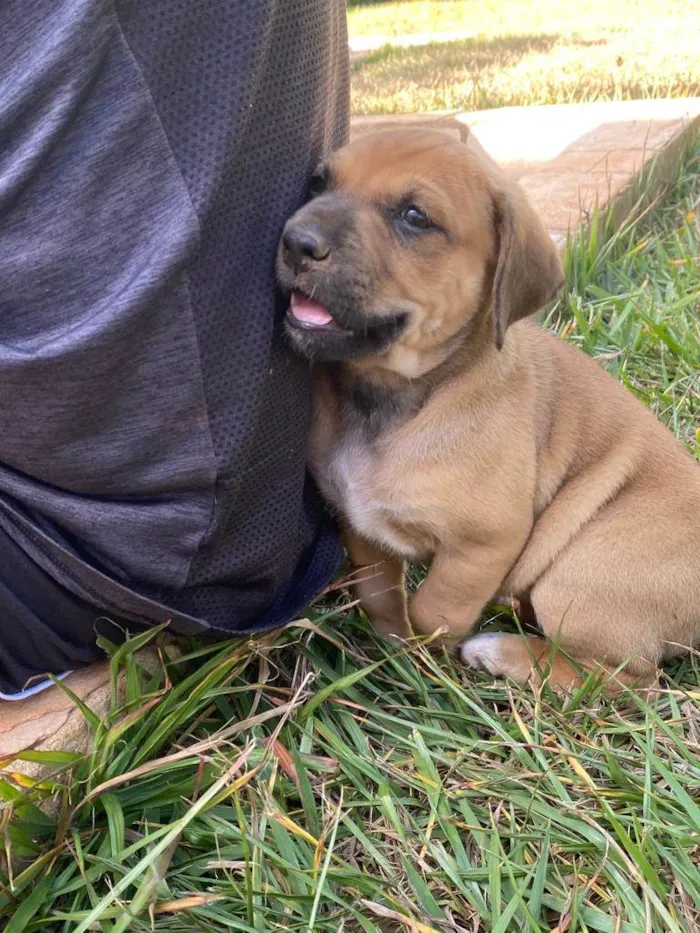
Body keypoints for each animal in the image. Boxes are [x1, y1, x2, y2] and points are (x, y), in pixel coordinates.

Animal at [276, 125, 700, 692]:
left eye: (415, 217)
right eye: (319, 183)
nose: (296, 241)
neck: (393, 398)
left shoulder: (483, 545)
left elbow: (435, 610)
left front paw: (427, 659)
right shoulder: (359, 525)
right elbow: (380, 596)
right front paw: (393, 651)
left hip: (584, 570)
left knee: (628, 677)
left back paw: (503, 653)